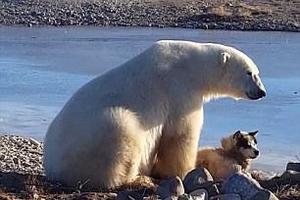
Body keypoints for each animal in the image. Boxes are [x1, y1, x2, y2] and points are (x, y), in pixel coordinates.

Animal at [43, 39, 266, 188]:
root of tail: (51, 165)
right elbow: (181, 135)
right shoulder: (180, 90)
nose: (262, 92)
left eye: (257, 73)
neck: (193, 66)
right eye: (249, 73)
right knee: (121, 133)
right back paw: (136, 178)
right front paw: (184, 171)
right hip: (95, 135)